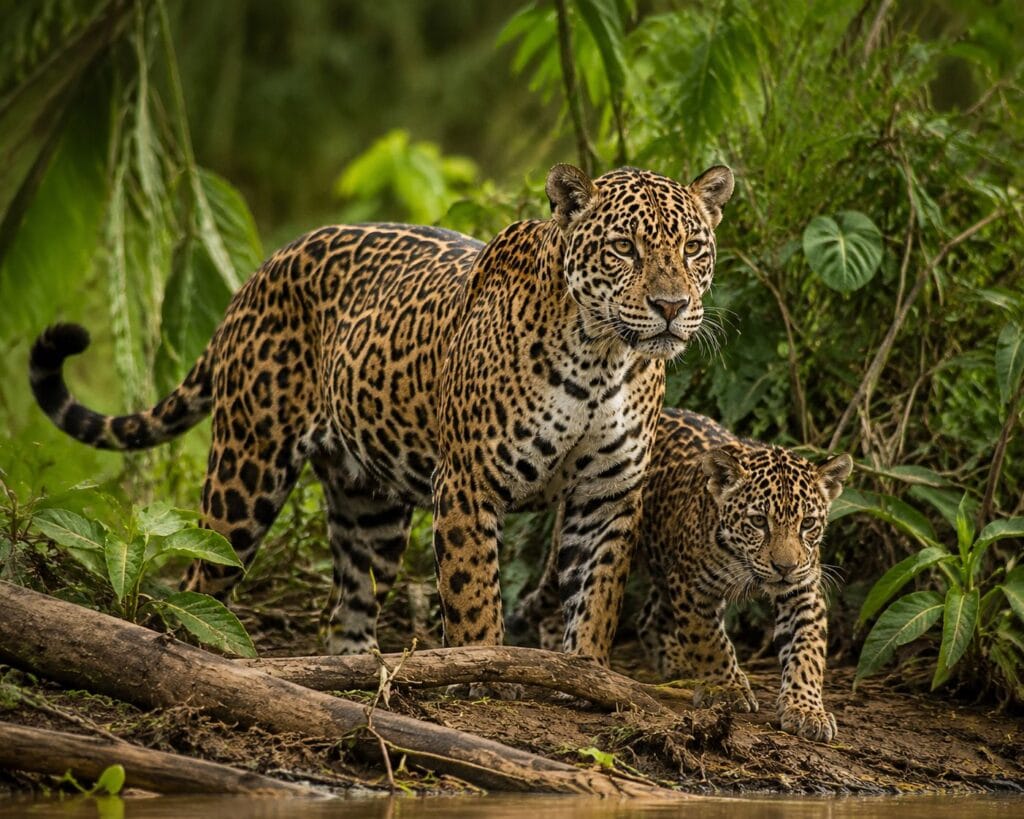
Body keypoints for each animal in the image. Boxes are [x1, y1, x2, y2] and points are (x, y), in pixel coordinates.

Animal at [29, 162, 734, 666]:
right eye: (624, 248)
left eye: (695, 249)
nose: (672, 306)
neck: (603, 359)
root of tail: (263, 267)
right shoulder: (468, 485)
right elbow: (475, 606)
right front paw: (484, 677)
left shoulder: (608, 494)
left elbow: (597, 601)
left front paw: (585, 677)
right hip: (246, 471)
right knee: (203, 575)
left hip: (371, 506)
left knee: (347, 602)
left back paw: (358, 674)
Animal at [514, 407, 852, 741]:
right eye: (758, 521)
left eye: (808, 523)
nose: (785, 568)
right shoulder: (691, 587)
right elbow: (709, 641)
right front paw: (726, 688)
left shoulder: (803, 592)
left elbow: (806, 652)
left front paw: (806, 710)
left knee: (648, 618)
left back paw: (676, 666)